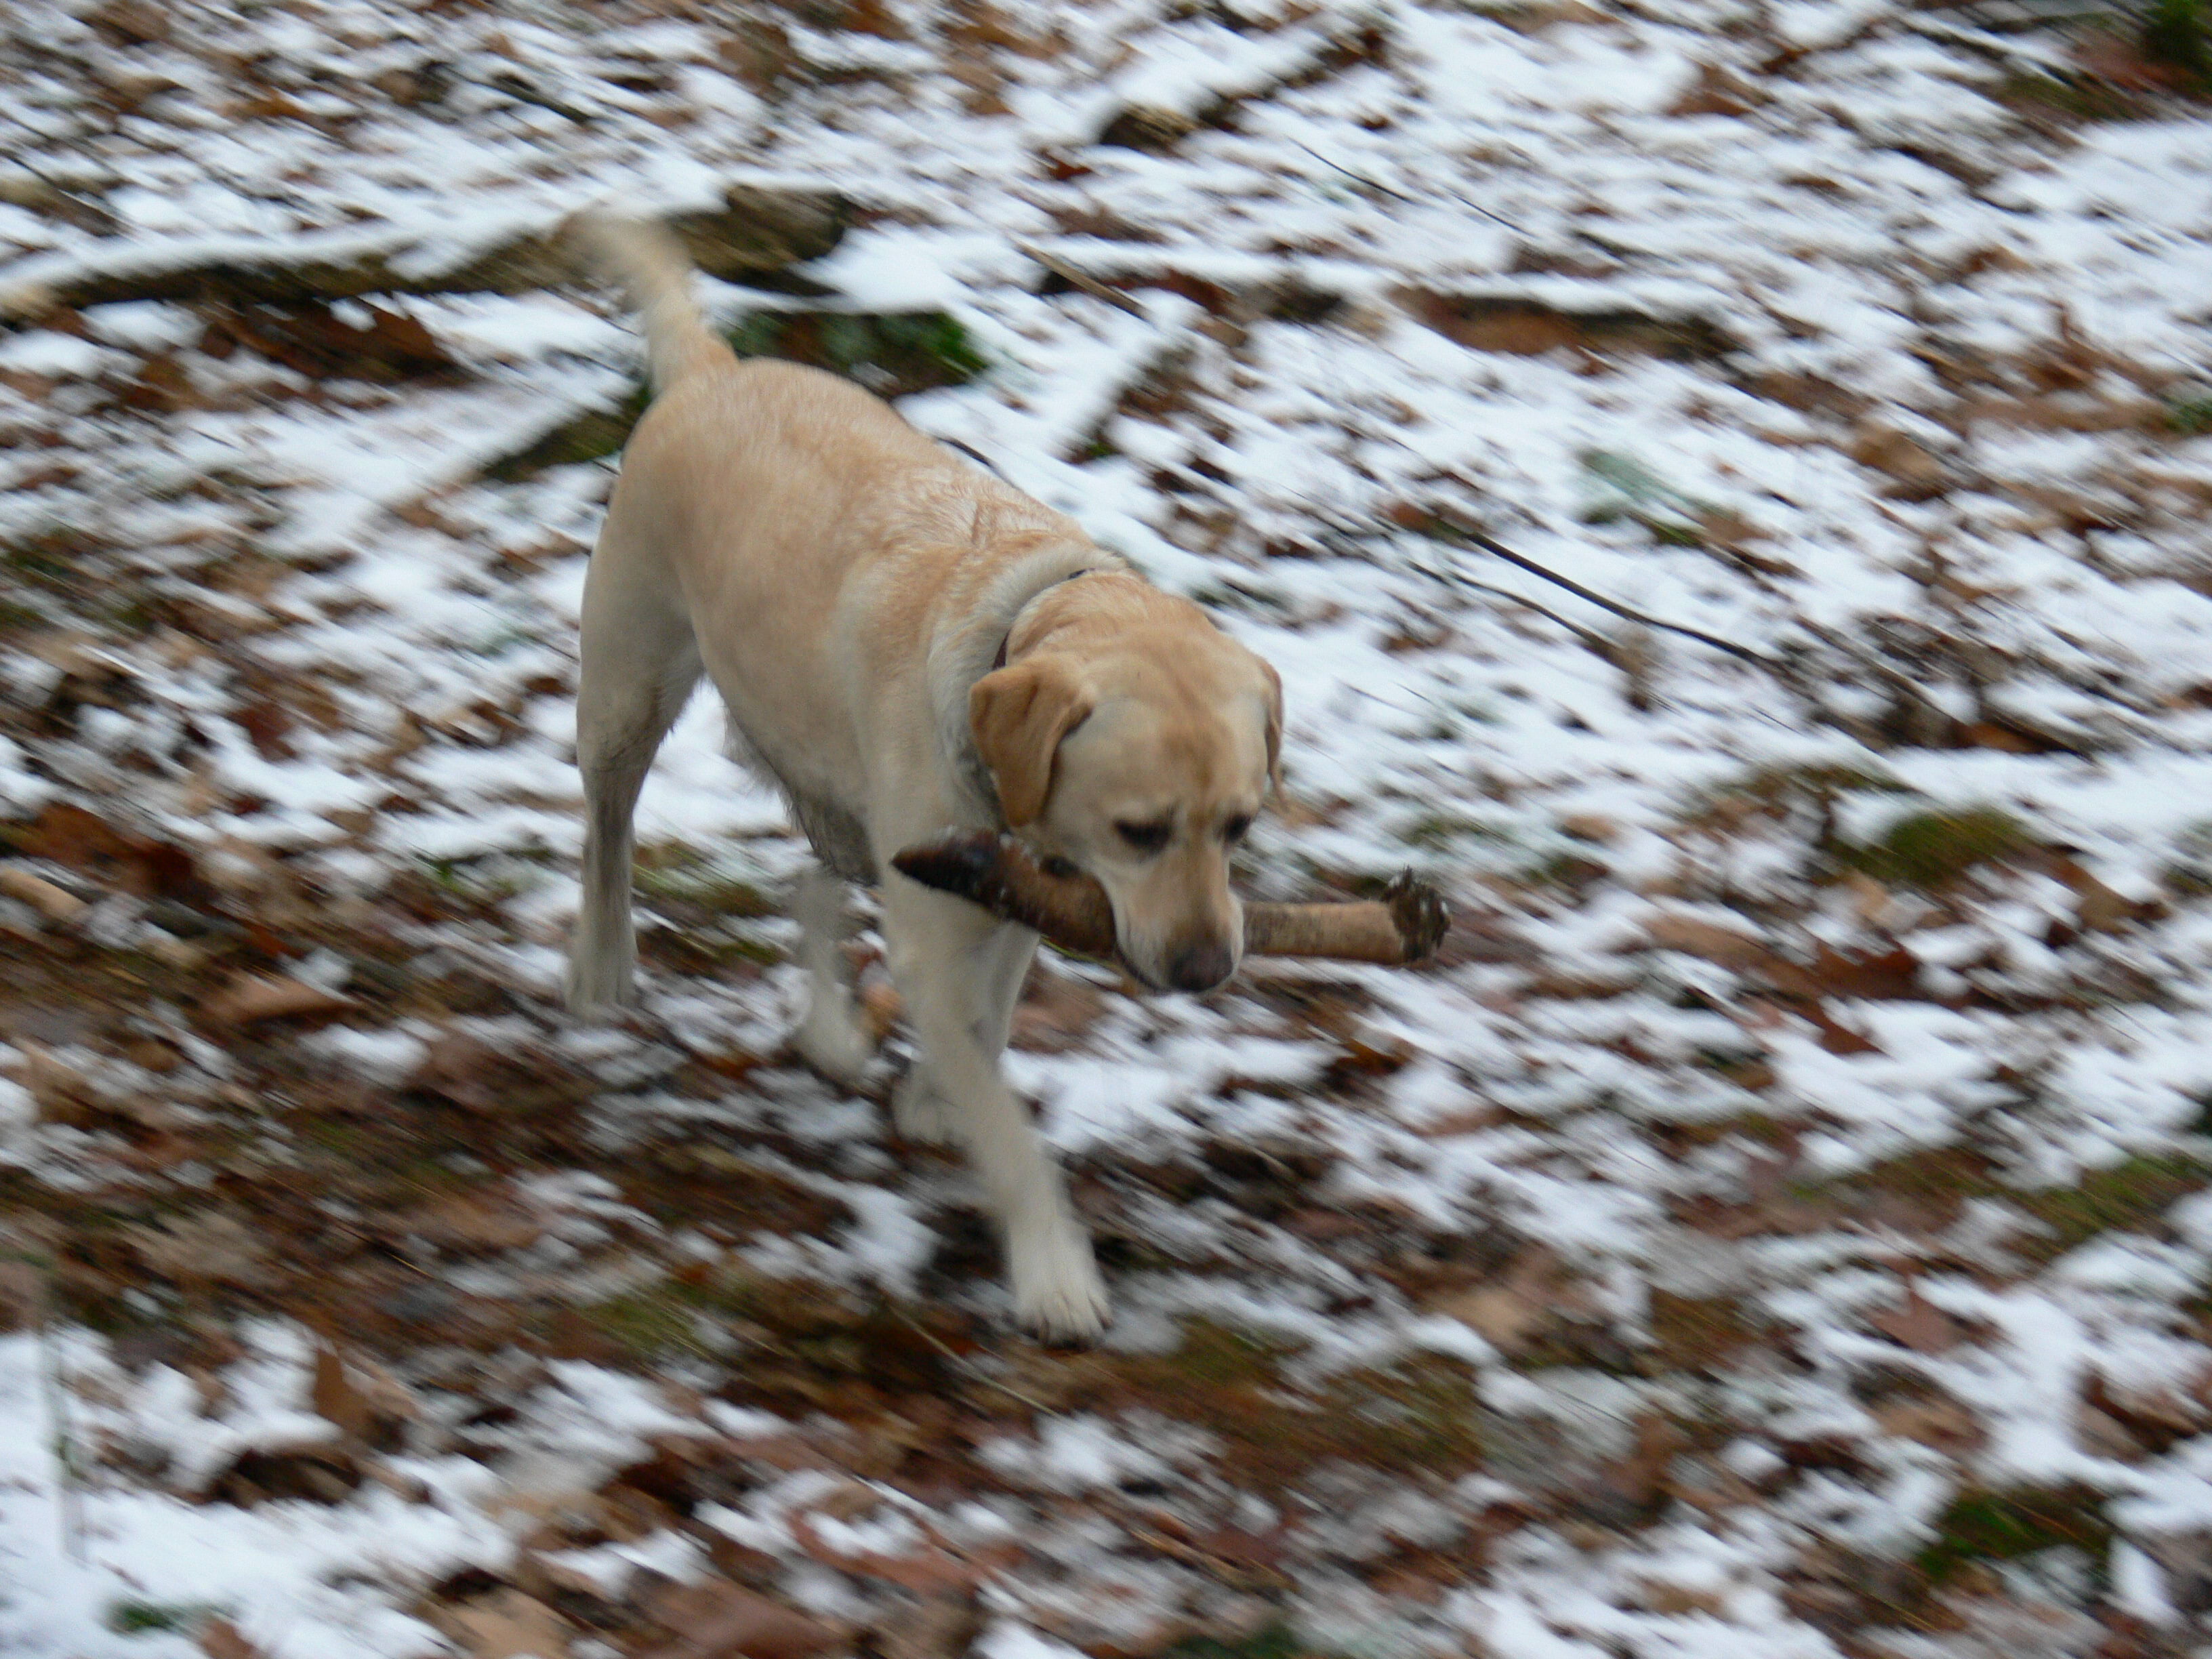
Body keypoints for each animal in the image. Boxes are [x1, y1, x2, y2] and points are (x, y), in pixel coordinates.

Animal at [562, 214, 1283, 1345]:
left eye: (1241, 826)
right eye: (1140, 831)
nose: (1209, 968)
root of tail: (715, 372)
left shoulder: (1014, 908)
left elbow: (986, 1034)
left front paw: (933, 1099)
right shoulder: (945, 938)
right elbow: (1010, 1128)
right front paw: (1053, 1271)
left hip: (849, 812)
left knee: (809, 886)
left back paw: (828, 1031)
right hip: (628, 692)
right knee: (607, 831)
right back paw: (601, 968)